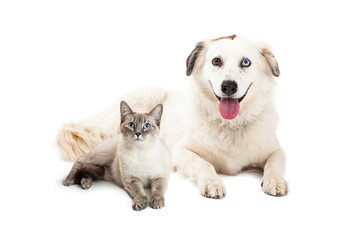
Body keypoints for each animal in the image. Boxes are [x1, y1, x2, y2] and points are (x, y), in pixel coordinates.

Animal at [57, 34, 288, 199]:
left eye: (246, 62)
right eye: (216, 61)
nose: (228, 86)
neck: (231, 125)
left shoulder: (275, 149)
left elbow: (275, 162)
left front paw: (274, 181)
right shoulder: (180, 152)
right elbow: (203, 164)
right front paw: (212, 182)